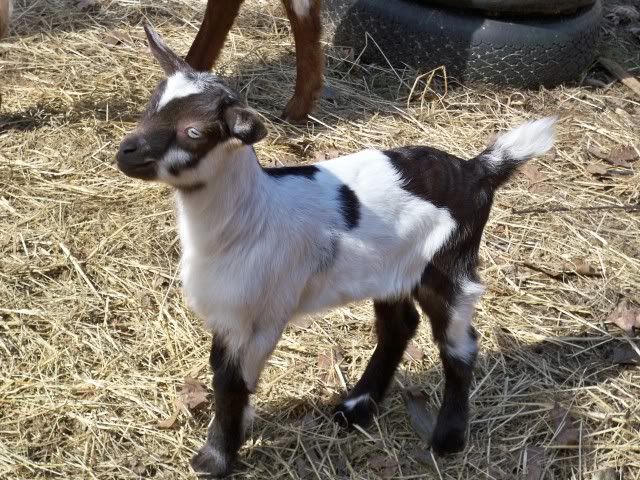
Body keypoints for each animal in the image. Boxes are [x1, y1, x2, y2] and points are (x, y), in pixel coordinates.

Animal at [116, 25, 556, 478]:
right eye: (152, 105)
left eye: (194, 132)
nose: (126, 152)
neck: (252, 216)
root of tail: (476, 170)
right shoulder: (231, 315)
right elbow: (228, 376)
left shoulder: (260, 314)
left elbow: (230, 382)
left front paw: (216, 457)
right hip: (392, 269)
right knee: (400, 326)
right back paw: (357, 406)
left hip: (450, 266)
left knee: (459, 343)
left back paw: (448, 438)